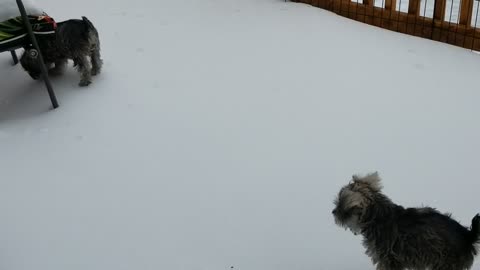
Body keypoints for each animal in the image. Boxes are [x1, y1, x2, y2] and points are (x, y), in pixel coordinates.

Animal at [332, 173, 480, 270]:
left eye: (340, 204)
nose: (333, 212)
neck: (377, 217)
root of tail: (468, 236)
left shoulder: (387, 259)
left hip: (445, 263)